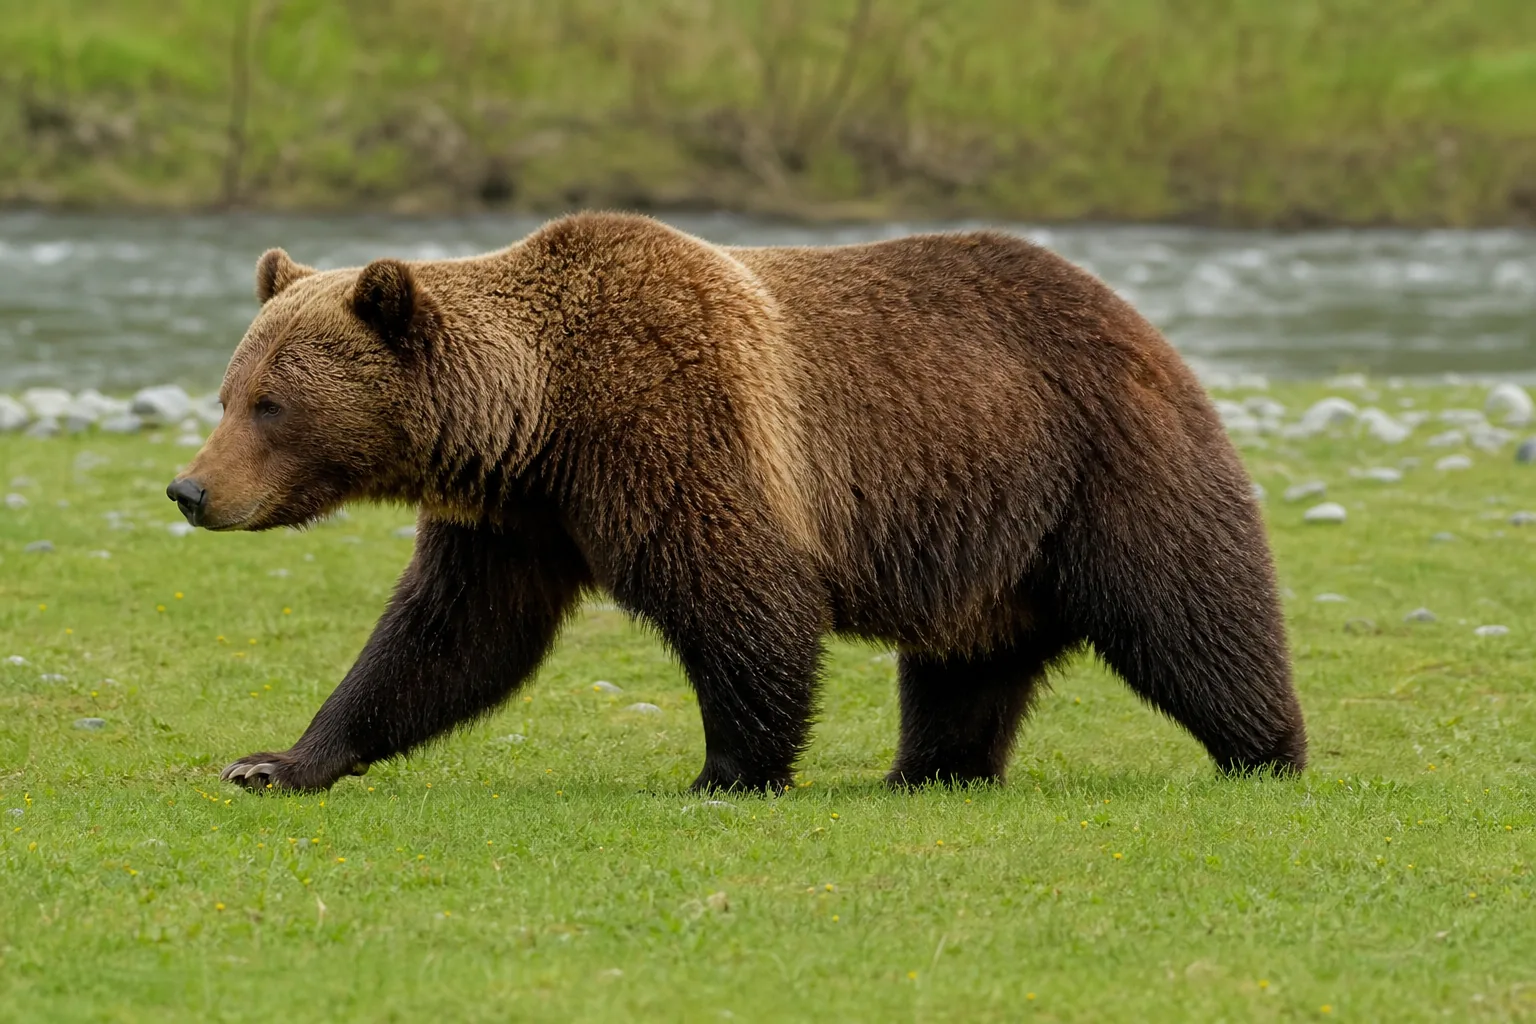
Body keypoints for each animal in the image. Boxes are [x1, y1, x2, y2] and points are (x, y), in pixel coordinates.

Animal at [166, 211, 1306, 794]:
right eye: (229, 391)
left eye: (271, 403)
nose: (190, 488)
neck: (542, 417)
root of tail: (1138, 314)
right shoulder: (517, 518)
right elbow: (447, 638)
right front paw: (278, 759)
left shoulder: (672, 422)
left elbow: (745, 597)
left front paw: (729, 767)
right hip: (984, 529)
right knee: (964, 663)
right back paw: (933, 768)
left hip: (1098, 459)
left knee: (1188, 609)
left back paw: (1266, 748)